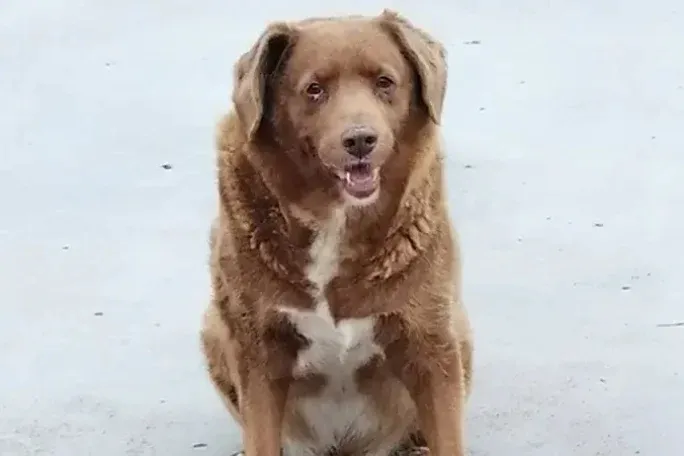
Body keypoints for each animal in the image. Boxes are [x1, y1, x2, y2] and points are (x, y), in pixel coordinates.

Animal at [200, 9, 472, 456]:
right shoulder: (258, 350)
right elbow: (261, 435)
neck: (335, 220)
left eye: (385, 82)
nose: (360, 139)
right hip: (213, 327)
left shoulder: (431, 343)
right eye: (314, 89)